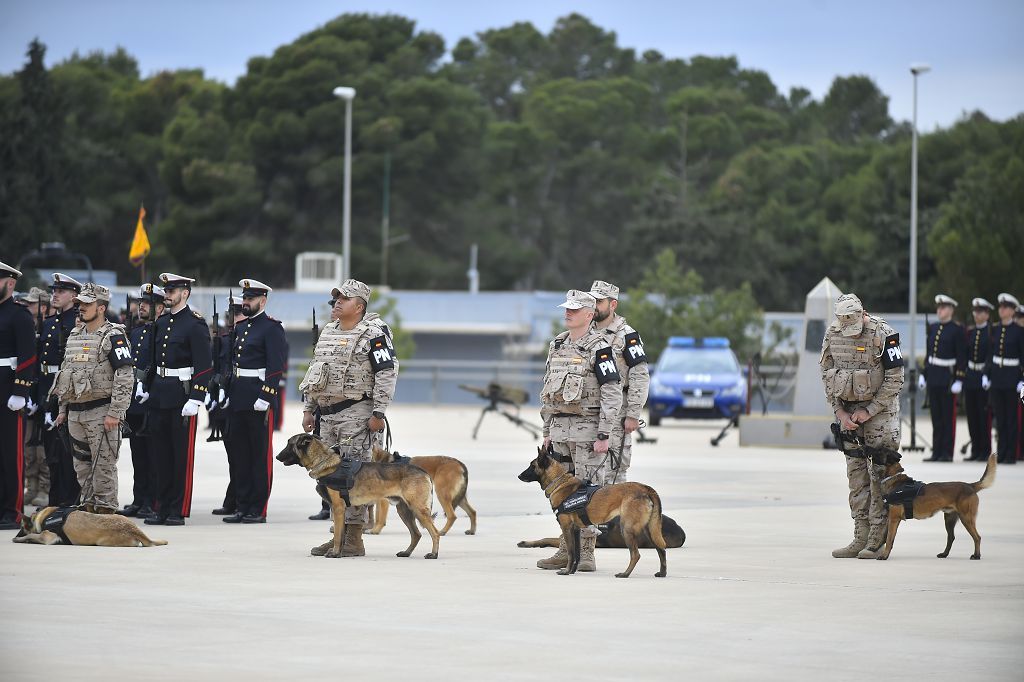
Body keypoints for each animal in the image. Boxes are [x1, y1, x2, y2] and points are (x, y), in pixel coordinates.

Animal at [11, 503, 167, 548]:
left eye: (21, 528)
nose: (16, 534)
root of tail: (134, 530)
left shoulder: (47, 537)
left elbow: (32, 535)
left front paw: (20, 539)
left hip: (102, 542)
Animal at [278, 432, 442, 561]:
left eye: (289, 444)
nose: (277, 456)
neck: (324, 462)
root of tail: (423, 471)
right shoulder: (340, 510)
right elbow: (340, 533)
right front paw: (339, 552)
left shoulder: (338, 508)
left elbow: (338, 535)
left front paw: (335, 553)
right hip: (405, 511)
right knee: (416, 534)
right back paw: (406, 553)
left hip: (418, 509)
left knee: (434, 533)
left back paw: (433, 554)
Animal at [516, 448, 667, 577]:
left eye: (532, 466)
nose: (518, 476)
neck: (559, 482)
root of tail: (645, 488)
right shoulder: (576, 530)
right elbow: (576, 554)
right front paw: (572, 571)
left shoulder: (566, 528)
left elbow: (570, 552)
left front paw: (566, 571)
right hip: (649, 529)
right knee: (661, 549)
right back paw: (662, 573)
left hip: (627, 529)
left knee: (636, 554)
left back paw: (625, 574)